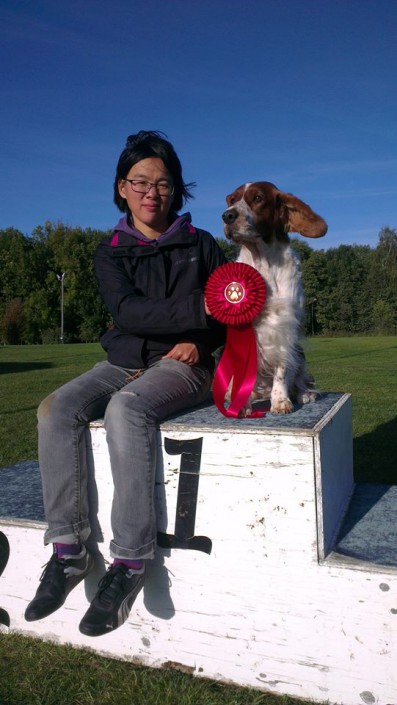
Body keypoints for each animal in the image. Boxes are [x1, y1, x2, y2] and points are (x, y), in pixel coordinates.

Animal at [221, 179, 326, 416]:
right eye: (232, 199)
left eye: (258, 198)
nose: (227, 216)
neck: (263, 262)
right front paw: (240, 404)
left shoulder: (285, 327)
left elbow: (282, 369)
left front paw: (280, 401)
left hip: (299, 351)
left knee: (299, 377)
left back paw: (305, 393)